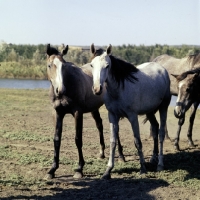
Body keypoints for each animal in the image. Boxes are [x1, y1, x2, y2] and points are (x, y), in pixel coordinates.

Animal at [45, 43, 125, 178]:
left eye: (64, 66)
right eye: (49, 65)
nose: (60, 90)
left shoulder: (78, 113)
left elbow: (78, 139)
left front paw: (79, 168)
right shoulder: (58, 113)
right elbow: (56, 139)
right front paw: (52, 169)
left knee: (116, 129)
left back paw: (121, 156)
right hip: (94, 109)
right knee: (99, 125)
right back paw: (101, 153)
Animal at [90, 43, 170, 180]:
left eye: (107, 66)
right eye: (91, 65)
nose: (97, 89)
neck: (119, 90)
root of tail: (162, 69)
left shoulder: (133, 116)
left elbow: (137, 141)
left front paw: (142, 168)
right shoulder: (112, 116)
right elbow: (113, 141)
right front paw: (107, 171)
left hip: (163, 108)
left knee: (160, 134)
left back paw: (160, 164)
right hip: (150, 111)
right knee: (155, 128)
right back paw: (153, 158)